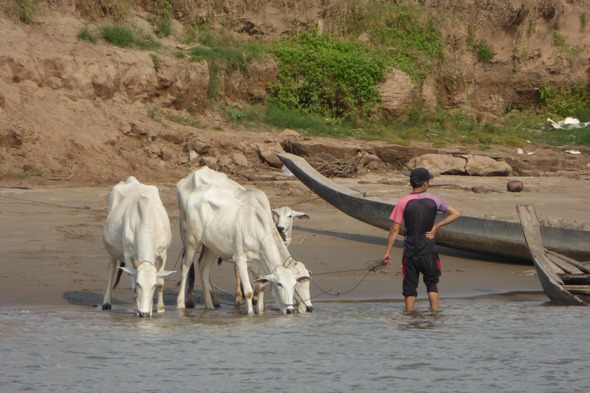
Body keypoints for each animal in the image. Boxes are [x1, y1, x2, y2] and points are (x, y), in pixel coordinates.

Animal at [103, 176, 173, 316]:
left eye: (153, 285)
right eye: (138, 283)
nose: (144, 313)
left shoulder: (163, 253)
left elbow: (161, 282)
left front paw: (159, 309)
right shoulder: (128, 254)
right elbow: (132, 287)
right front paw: (137, 310)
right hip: (112, 250)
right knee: (111, 269)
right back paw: (106, 302)